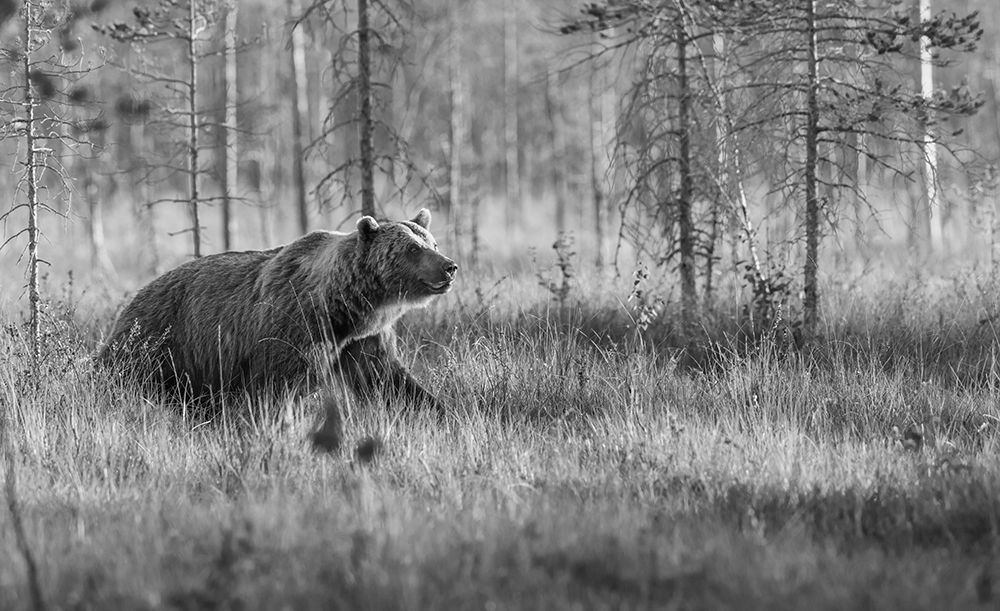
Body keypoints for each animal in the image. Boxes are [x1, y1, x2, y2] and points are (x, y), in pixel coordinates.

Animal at [99, 209, 457, 436]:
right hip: (161, 341)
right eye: (413, 248)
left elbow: (387, 379)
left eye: (433, 242)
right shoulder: (295, 328)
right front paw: (273, 428)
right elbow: (275, 390)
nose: (449, 266)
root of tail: (136, 296)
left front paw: (440, 411)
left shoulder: (362, 339)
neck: (343, 309)